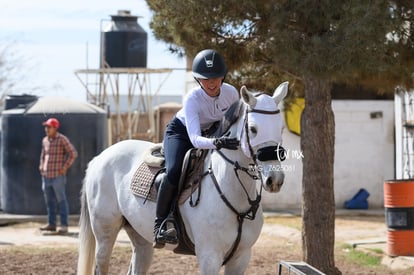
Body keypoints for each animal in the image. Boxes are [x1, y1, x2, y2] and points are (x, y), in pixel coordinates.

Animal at [77, 82, 290, 275]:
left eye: (281, 128)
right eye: (253, 129)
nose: (274, 180)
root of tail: (100, 157)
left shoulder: (241, 257)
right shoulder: (209, 257)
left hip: (140, 237)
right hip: (105, 233)